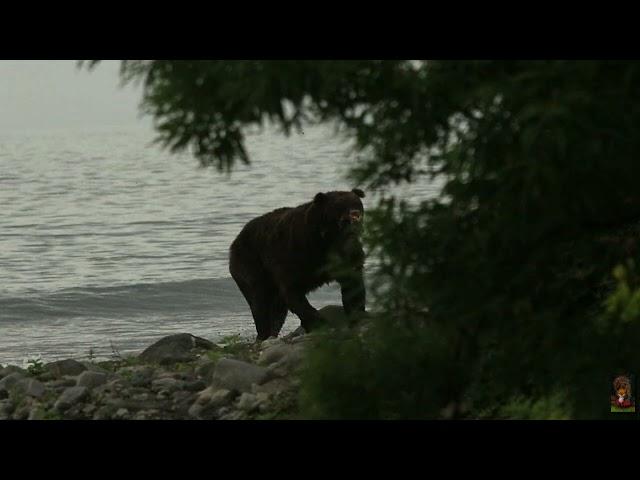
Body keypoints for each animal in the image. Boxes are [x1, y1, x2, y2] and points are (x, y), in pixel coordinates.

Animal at [229, 188, 364, 342]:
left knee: (276, 310)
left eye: (357, 205)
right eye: (340, 208)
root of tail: (234, 241)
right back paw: (263, 334)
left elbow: (353, 286)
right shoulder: (295, 256)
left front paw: (357, 316)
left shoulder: (347, 256)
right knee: (259, 303)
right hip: (252, 265)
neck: (327, 242)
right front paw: (320, 323)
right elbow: (293, 293)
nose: (355, 215)